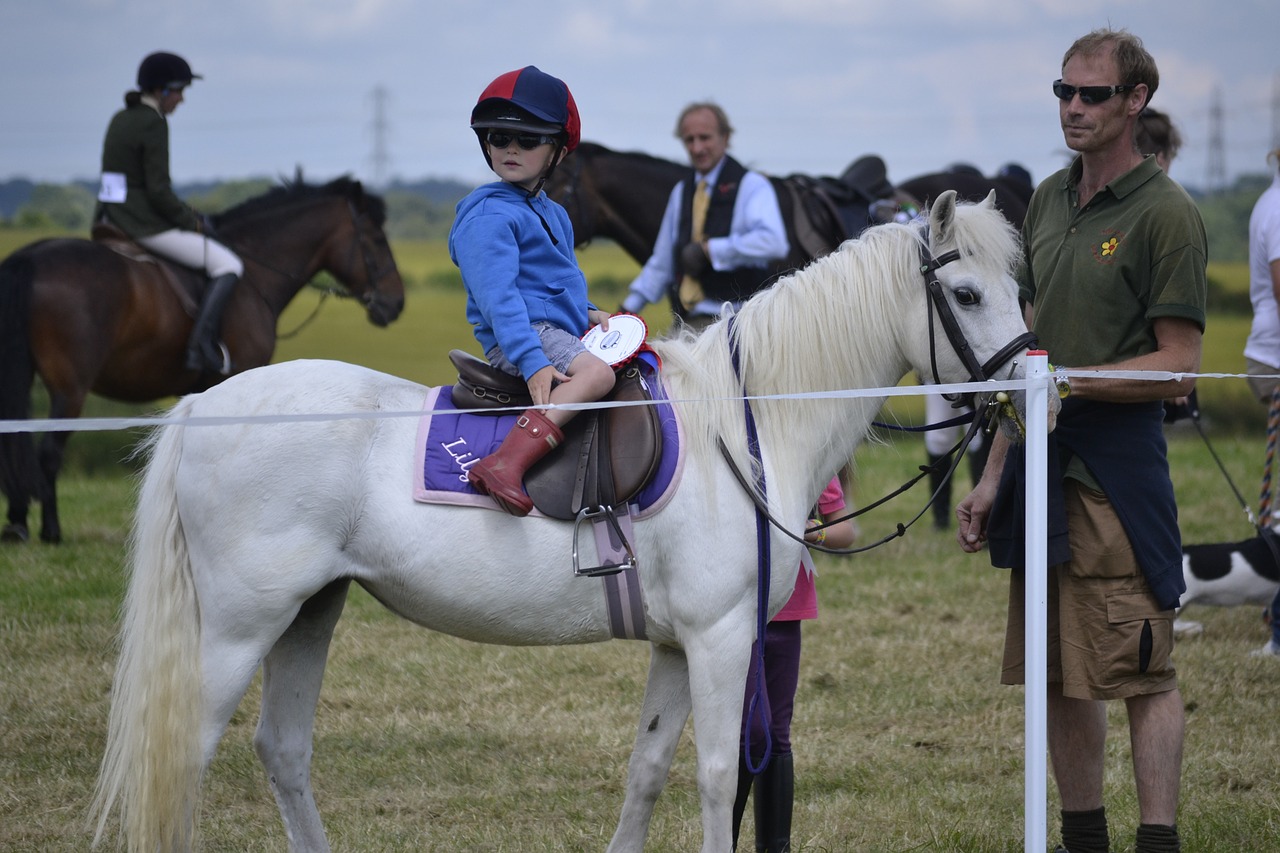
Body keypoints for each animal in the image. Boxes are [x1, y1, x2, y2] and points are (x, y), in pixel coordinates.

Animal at [0, 175, 404, 540]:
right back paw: (50, 531)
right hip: (70, 388)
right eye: (376, 239)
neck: (255, 272)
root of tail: (30, 256)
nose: (396, 303)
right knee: (49, 452)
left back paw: (18, 524)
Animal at [94, 190, 1044, 850]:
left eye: (1013, 284)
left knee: (283, 750)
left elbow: (648, 768)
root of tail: (203, 406)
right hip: (239, 627)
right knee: (183, 754)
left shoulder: (676, 645)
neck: (739, 424)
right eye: (965, 293)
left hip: (309, 614)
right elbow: (714, 774)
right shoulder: (719, 636)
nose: (1030, 381)